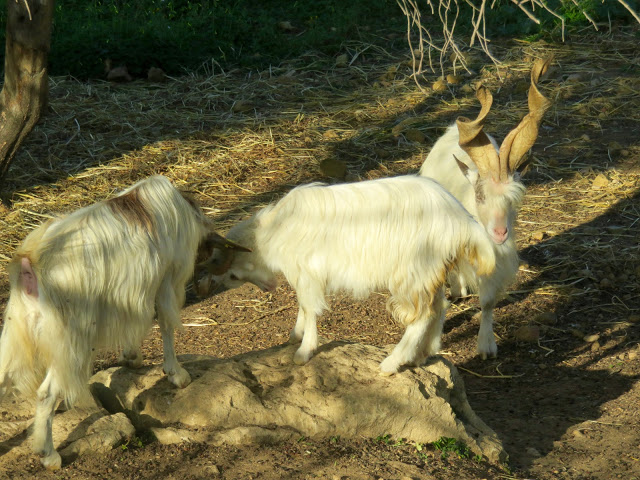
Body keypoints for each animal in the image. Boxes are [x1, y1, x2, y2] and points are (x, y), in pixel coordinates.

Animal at [0, 175, 247, 469]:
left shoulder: (132, 292)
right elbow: (165, 322)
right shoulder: (166, 280)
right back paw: (49, 455)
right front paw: (177, 374)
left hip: (18, 328)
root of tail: (29, 263)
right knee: (46, 393)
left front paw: (132, 357)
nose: (203, 289)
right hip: (69, 338)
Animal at [199, 175, 496, 374]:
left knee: (422, 316)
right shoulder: (304, 276)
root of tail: (461, 221)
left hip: (413, 273)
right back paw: (423, 354)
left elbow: (309, 308)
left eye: (231, 276)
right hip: (430, 272)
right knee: (439, 307)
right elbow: (303, 307)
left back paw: (392, 363)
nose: (268, 288)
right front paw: (296, 334)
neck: (273, 232)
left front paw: (304, 350)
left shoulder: (307, 274)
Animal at [419, 57, 553, 359]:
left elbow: (488, 301)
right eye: (480, 196)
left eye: (515, 198)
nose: (500, 233)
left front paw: (486, 346)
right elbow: (438, 300)